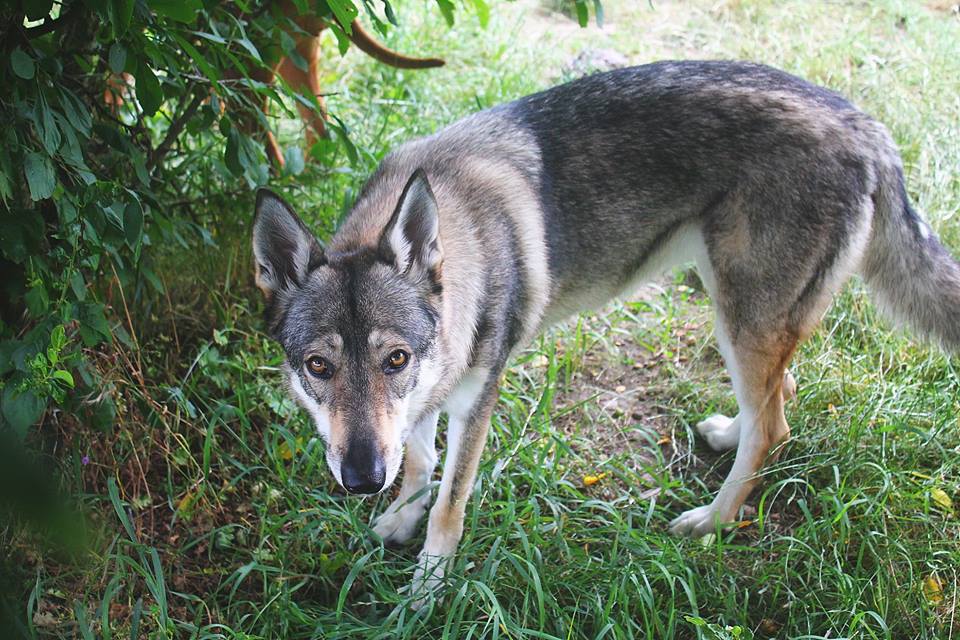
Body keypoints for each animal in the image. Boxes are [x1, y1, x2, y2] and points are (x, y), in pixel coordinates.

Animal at [251, 60, 960, 600]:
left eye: (394, 359)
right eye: (318, 367)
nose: (362, 479)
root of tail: (866, 125)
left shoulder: (475, 399)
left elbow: (451, 500)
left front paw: (426, 589)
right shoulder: (428, 397)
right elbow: (421, 459)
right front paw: (401, 517)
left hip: (739, 316)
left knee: (775, 427)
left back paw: (712, 521)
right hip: (737, 311)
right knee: (777, 401)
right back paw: (727, 435)